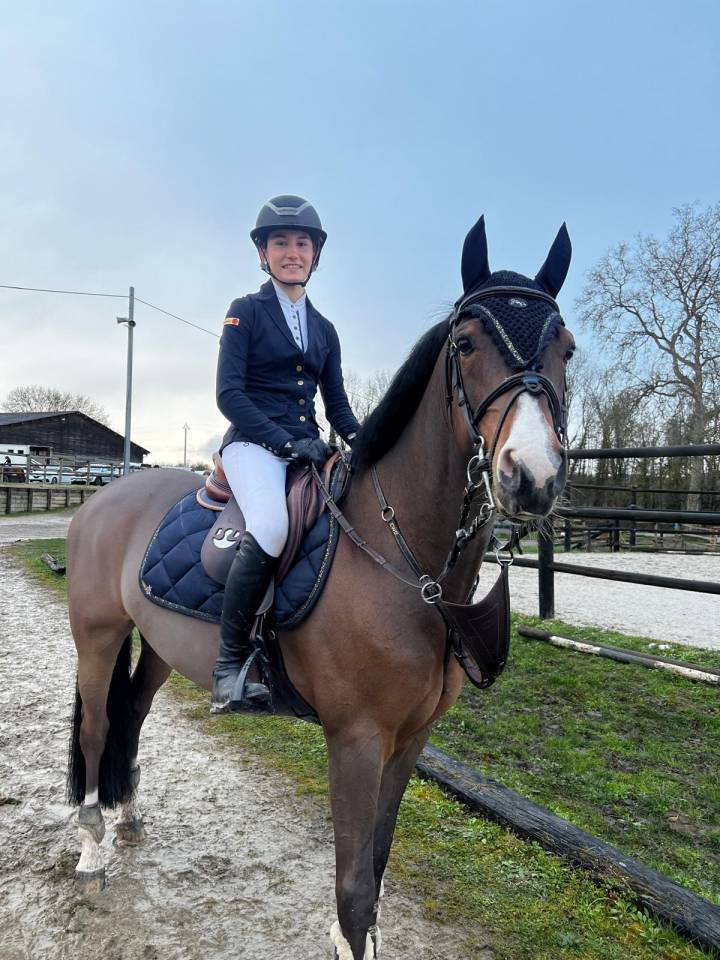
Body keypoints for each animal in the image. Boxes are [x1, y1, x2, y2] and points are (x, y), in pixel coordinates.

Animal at [65, 214, 574, 960]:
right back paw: (92, 848)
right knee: (99, 724)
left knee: (131, 713)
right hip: (98, 638)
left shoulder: (412, 738)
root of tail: (105, 497)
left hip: (156, 643)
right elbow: (355, 887)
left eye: (567, 348)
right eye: (467, 344)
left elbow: (379, 868)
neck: (409, 568)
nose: (531, 477)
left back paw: (127, 816)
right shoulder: (356, 739)